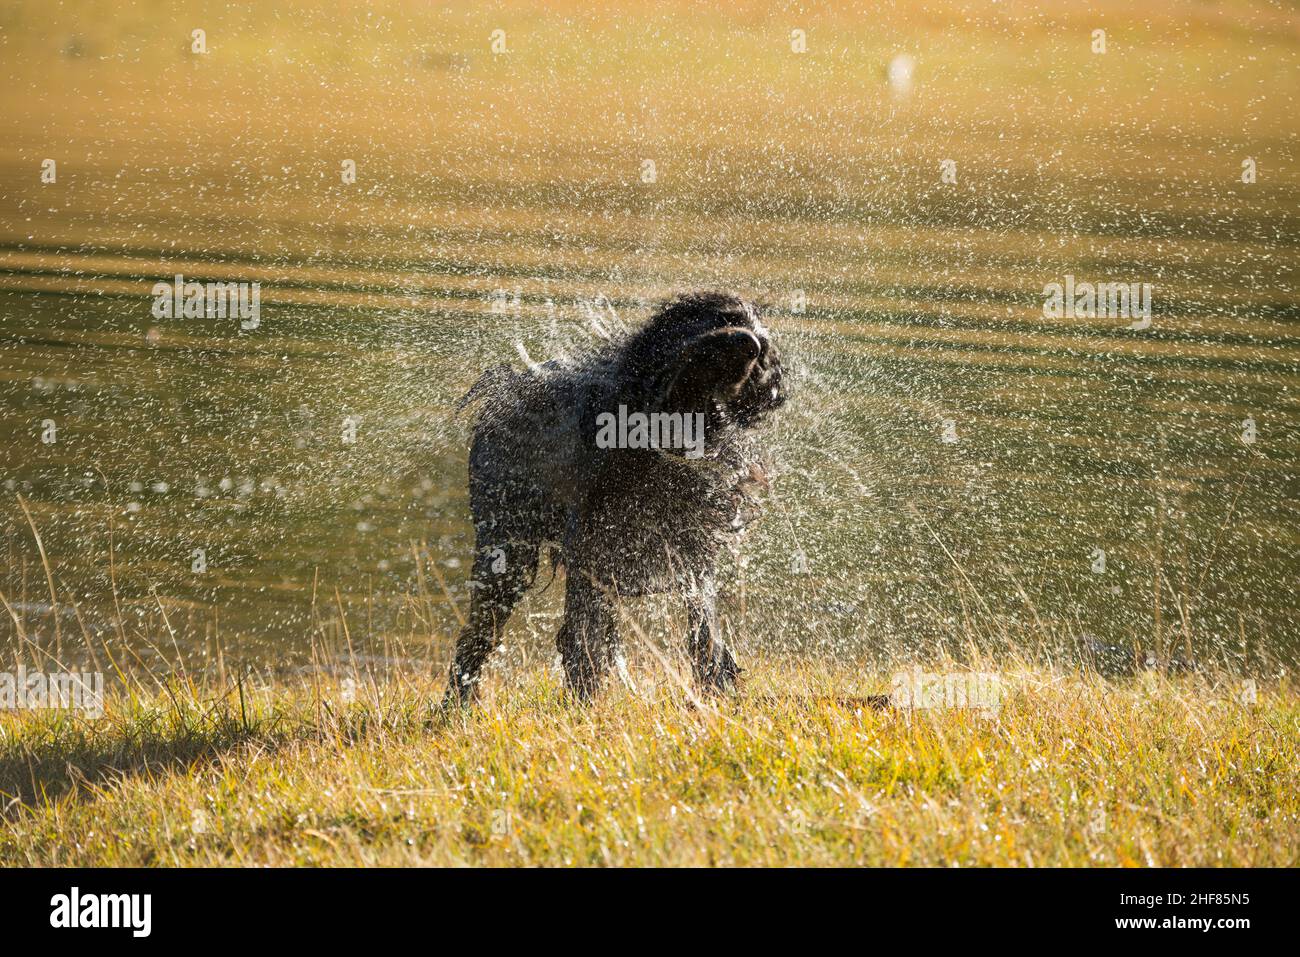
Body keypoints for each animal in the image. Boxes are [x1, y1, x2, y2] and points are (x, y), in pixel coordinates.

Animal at [447, 291, 785, 702]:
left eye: (761, 346)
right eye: (721, 319)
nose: (749, 345)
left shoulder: (691, 541)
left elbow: (703, 624)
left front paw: (714, 682)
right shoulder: (591, 544)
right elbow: (584, 633)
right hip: (507, 544)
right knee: (483, 630)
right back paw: (457, 702)